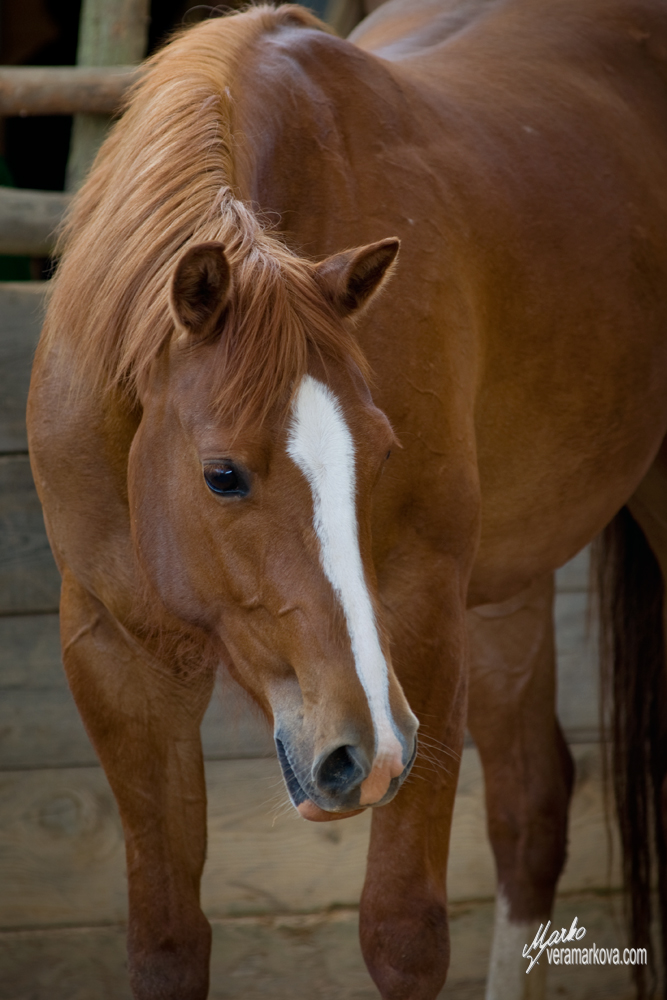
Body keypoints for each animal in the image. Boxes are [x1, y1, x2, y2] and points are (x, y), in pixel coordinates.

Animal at [28, 0, 667, 996]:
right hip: (507, 588)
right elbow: (167, 945)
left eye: (381, 451)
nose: (356, 746)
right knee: (531, 807)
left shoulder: (422, 621)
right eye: (222, 474)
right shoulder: (117, 657)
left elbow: (403, 937)